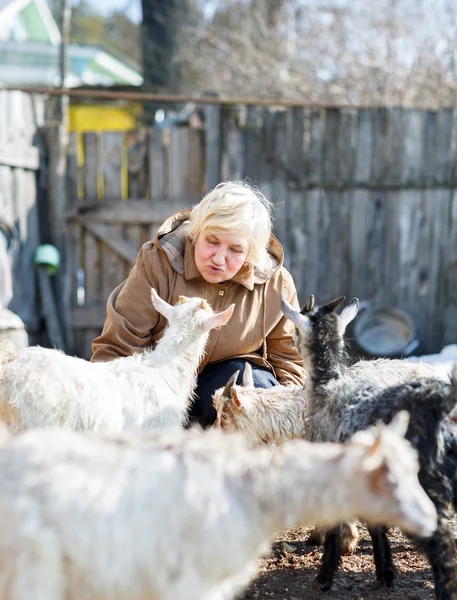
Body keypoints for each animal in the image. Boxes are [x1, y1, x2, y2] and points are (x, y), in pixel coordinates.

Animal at [0, 412, 436, 600]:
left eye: (414, 469)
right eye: (389, 479)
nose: (432, 520)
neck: (252, 492)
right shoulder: (187, 582)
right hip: (35, 574)